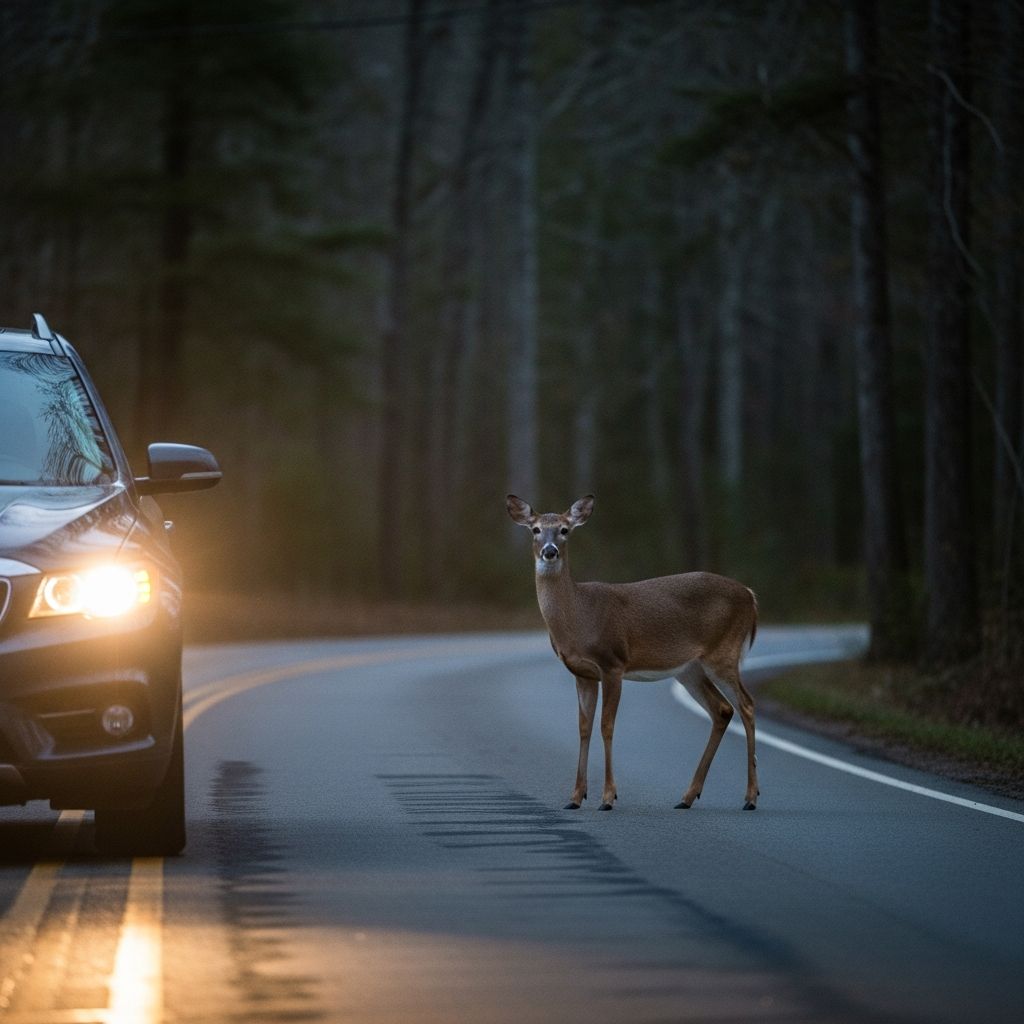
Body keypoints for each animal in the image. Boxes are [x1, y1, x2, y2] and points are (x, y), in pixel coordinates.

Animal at [506, 493, 760, 812]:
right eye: (536, 529)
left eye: (564, 530)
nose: (549, 552)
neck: (579, 618)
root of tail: (750, 594)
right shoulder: (582, 673)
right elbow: (584, 727)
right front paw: (575, 797)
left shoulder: (613, 663)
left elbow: (607, 725)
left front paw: (607, 797)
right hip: (690, 669)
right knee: (723, 710)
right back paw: (688, 796)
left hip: (723, 652)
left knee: (746, 704)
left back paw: (750, 797)